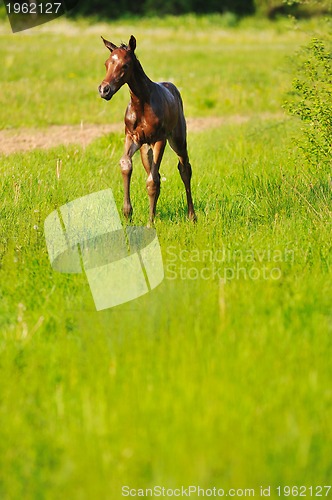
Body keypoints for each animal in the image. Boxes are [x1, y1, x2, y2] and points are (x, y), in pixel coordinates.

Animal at [97, 35, 196, 223]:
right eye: (106, 63)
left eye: (125, 65)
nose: (104, 90)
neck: (141, 104)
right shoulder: (132, 137)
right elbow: (126, 165)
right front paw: (127, 213)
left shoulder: (160, 139)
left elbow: (153, 181)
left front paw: (150, 222)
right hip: (145, 148)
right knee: (153, 171)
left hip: (178, 139)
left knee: (184, 168)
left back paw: (192, 216)